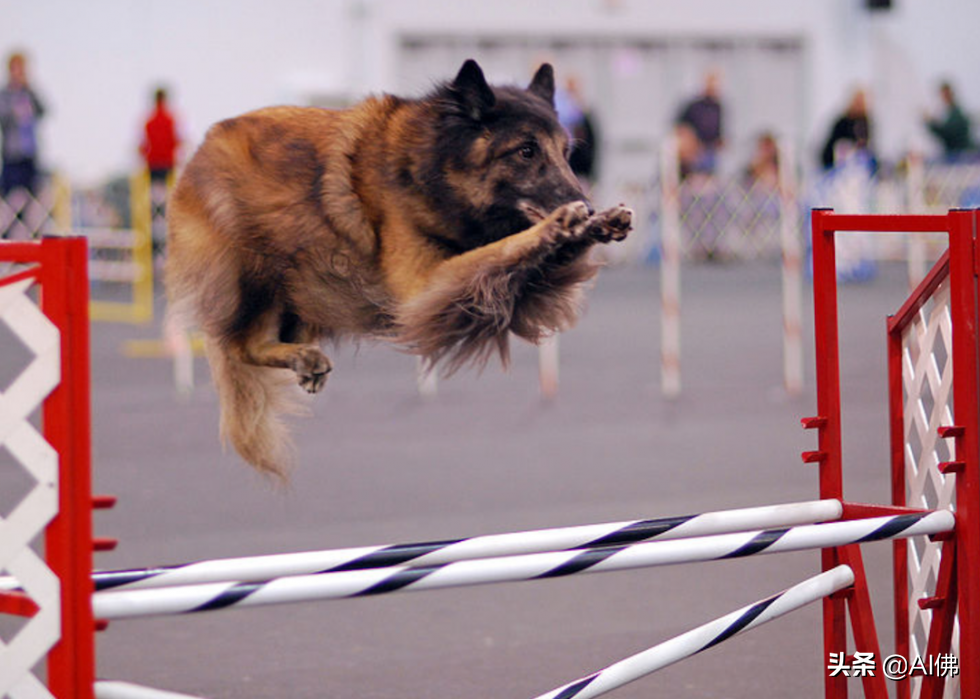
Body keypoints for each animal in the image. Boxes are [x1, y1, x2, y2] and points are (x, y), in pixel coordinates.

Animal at [166, 60, 632, 478]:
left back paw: (303, 359)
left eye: (566, 154)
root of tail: (199, 153)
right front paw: (560, 225)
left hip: (309, 288)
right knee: (237, 345)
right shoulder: (427, 286)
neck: (431, 170)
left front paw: (595, 224)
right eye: (526, 151)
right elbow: (502, 250)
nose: (586, 203)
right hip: (257, 272)